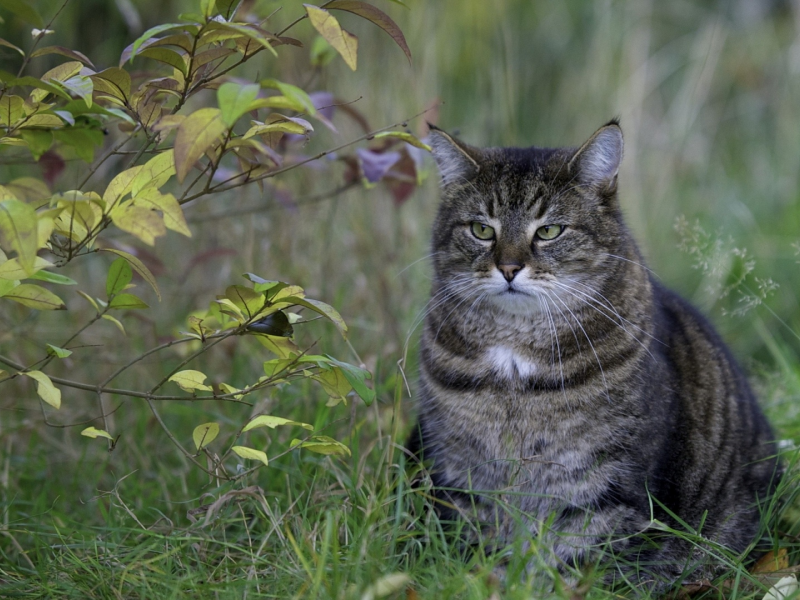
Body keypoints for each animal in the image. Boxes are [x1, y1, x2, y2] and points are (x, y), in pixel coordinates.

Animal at [410, 119, 780, 588]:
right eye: (481, 230)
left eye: (549, 231)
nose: (508, 268)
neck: (514, 355)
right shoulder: (462, 474)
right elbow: (479, 546)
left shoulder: (608, 486)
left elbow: (582, 564)